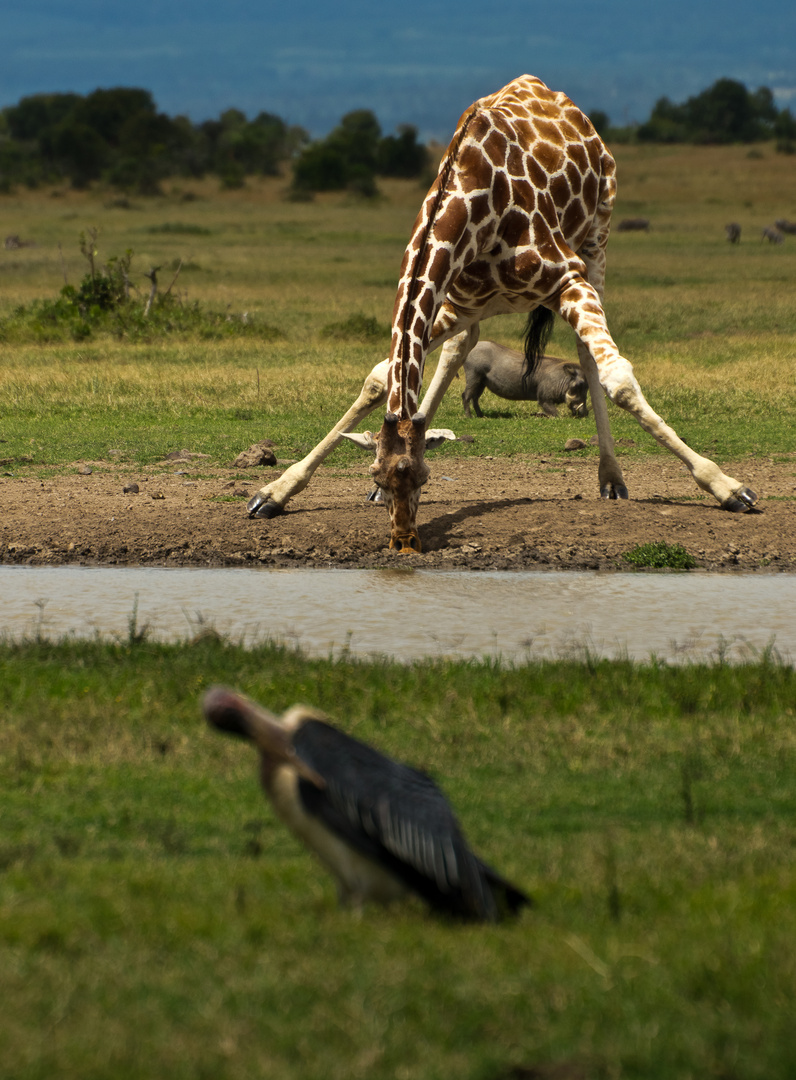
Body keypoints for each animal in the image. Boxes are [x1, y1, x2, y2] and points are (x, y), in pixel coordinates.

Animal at [248, 76, 756, 552]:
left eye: (424, 480)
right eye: (379, 477)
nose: (404, 541)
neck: (474, 202)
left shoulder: (568, 279)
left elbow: (620, 380)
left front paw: (728, 487)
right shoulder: (454, 301)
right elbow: (377, 378)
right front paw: (273, 492)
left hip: (598, 238)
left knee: (587, 356)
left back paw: (611, 479)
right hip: (476, 304)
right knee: (460, 349)